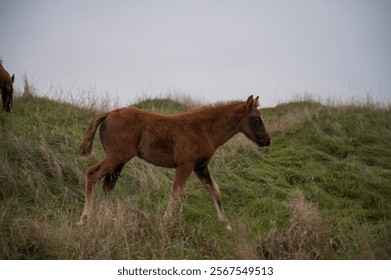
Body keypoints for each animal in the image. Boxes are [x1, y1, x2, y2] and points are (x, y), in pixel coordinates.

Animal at [78, 95, 272, 231]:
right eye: (257, 119)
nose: (267, 140)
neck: (204, 130)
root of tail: (108, 114)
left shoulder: (200, 166)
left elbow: (214, 189)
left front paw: (227, 225)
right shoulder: (185, 165)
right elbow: (176, 193)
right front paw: (164, 223)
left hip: (119, 161)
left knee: (108, 185)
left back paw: (109, 219)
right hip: (118, 156)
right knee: (92, 173)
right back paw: (85, 218)